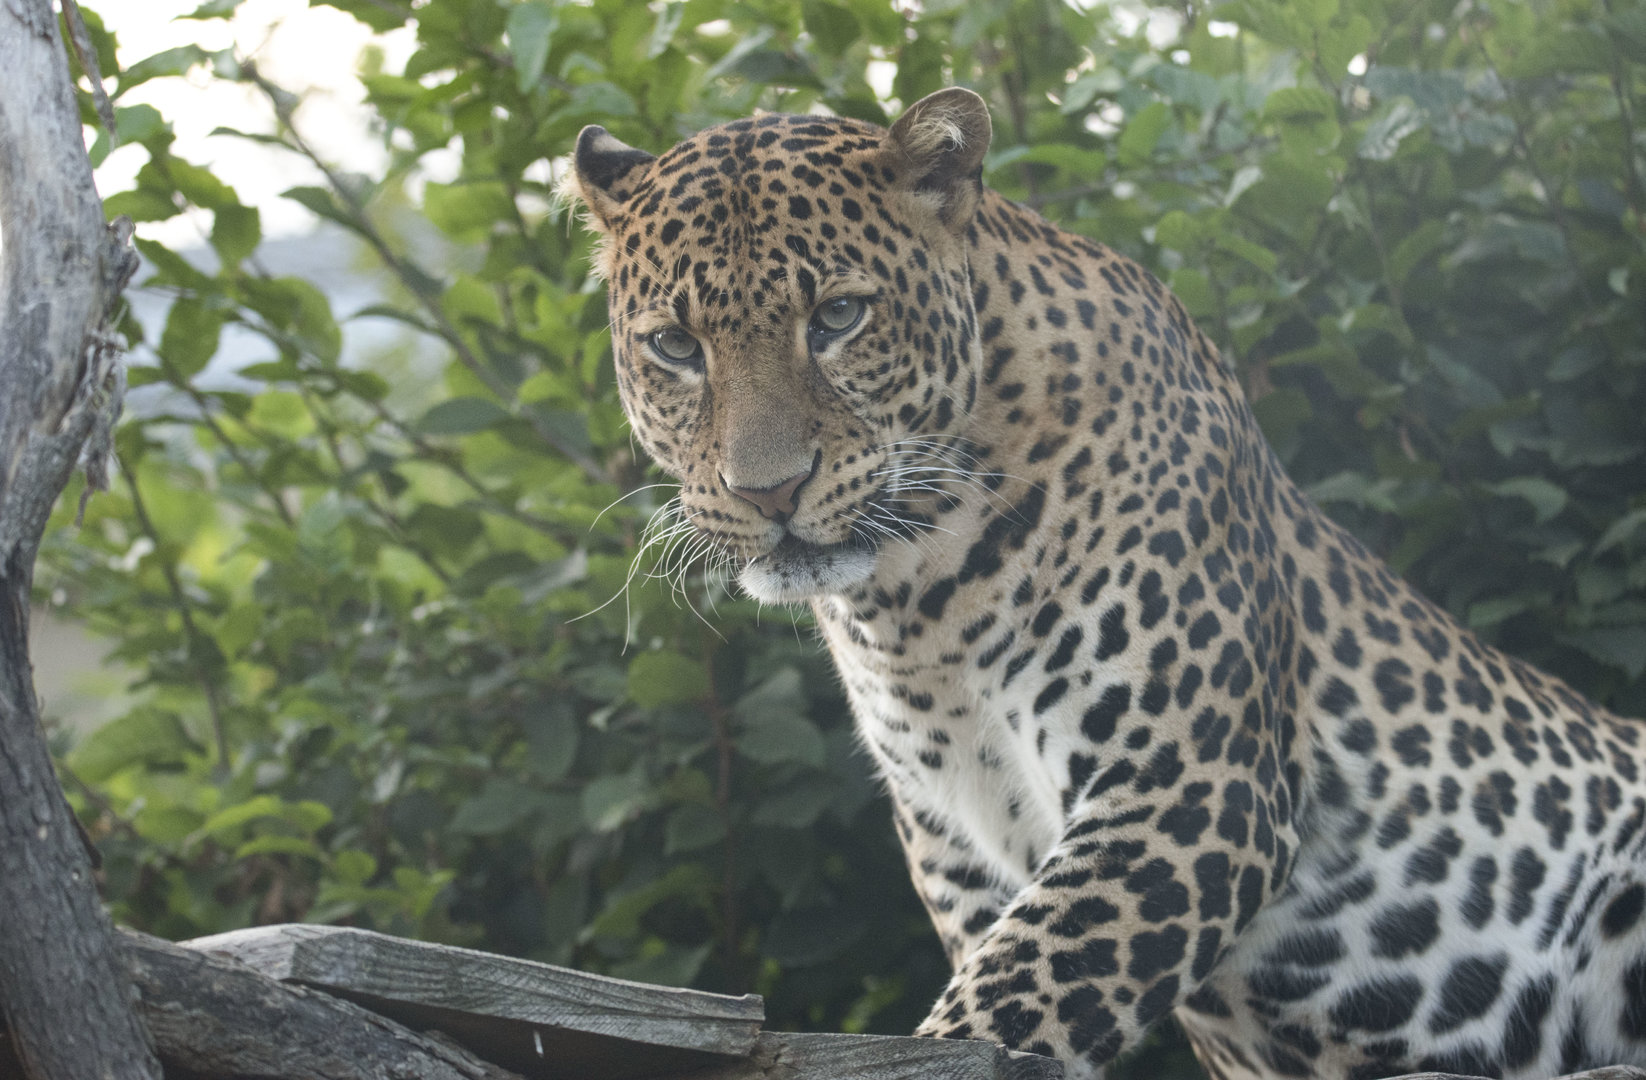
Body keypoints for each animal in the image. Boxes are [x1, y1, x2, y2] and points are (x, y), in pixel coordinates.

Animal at [565, 87, 1646, 1080]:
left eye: (837, 316)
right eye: (675, 347)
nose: (769, 491)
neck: (914, 598)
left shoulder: (1183, 783)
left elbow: (1017, 994)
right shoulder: (958, 845)